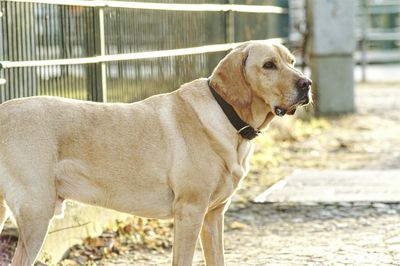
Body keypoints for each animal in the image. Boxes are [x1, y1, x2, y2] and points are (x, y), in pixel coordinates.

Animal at [0, 40, 310, 264]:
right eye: (269, 65)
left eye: (292, 62)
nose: (306, 83)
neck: (228, 115)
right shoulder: (190, 212)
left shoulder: (213, 216)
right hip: (37, 214)